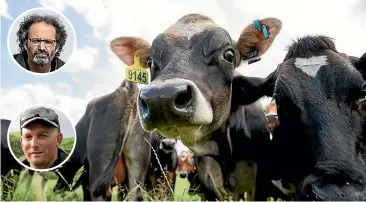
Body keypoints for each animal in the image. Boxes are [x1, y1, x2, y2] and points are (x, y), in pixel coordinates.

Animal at [110, 13, 282, 200]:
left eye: (229, 55)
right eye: (149, 62)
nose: (161, 97)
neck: (225, 155)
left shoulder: (257, 186)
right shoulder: (212, 186)